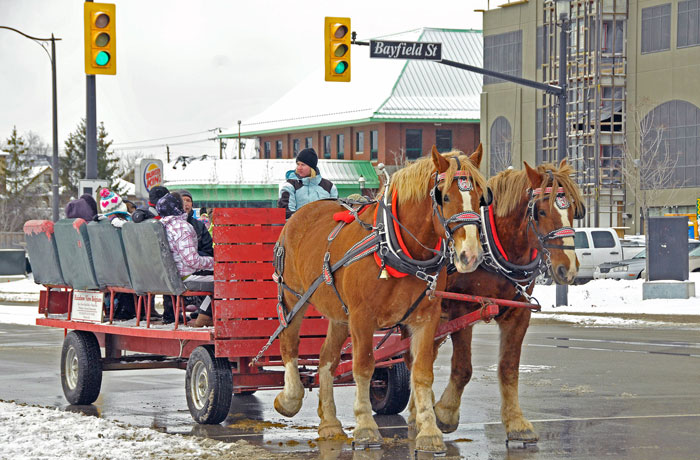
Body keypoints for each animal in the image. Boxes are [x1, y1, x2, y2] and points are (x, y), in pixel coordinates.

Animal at [270, 146, 490, 452]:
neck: (395, 246)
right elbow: (363, 367)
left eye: (481, 196)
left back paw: (329, 423)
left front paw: (429, 431)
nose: (470, 255)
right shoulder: (362, 317)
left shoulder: (426, 317)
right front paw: (365, 427)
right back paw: (290, 397)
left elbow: (422, 372)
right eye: (444, 196)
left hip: (339, 314)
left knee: (327, 359)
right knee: (289, 342)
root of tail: (298, 215)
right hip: (294, 297)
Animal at [432, 158, 584, 442]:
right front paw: (445, 413)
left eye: (573, 209)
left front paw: (516, 422)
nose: (567, 269)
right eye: (541, 212)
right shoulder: (462, 308)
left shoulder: (519, 312)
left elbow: (509, 368)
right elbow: (463, 367)